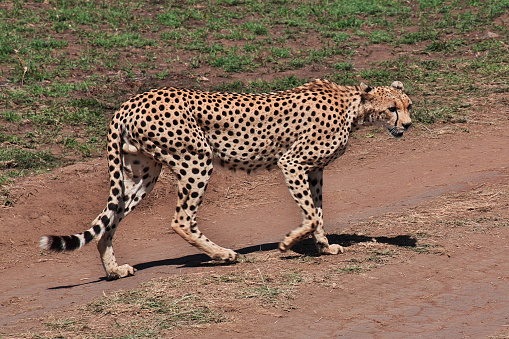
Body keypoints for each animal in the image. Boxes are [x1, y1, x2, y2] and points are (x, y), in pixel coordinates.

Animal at [41, 80, 410, 282]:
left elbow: (317, 211)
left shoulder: (314, 170)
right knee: (180, 220)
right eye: (392, 108)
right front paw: (289, 243)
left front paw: (324, 246)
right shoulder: (291, 162)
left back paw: (114, 270)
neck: (353, 108)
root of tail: (129, 102)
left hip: (142, 172)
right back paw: (223, 254)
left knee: (110, 218)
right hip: (196, 159)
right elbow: (311, 214)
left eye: (408, 105)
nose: (407, 125)